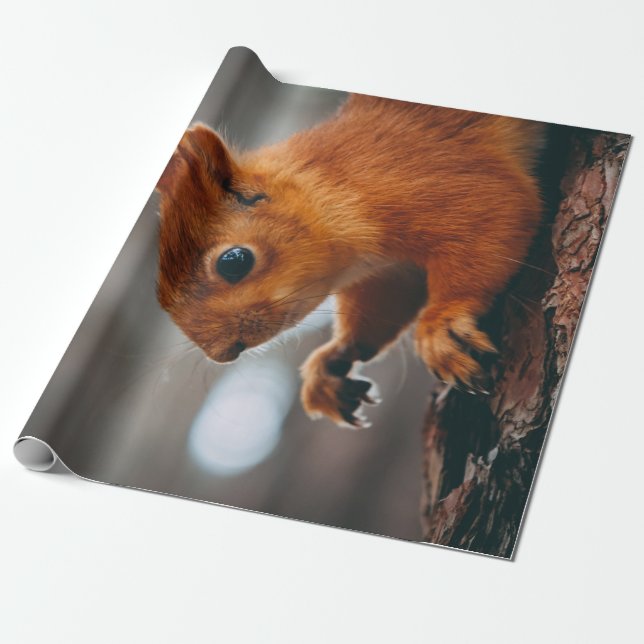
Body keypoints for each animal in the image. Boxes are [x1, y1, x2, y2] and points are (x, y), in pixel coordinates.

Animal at [156, 94, 545, 428]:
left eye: (234, 261)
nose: (222, 354)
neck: (324, 182)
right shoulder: (388, 271)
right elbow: (381, 307)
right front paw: (332, 361)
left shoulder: (435, 176)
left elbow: (497, 213)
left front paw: (441, 324)